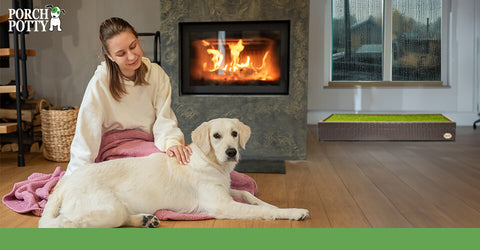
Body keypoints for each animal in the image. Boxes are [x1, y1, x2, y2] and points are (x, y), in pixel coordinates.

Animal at [37, 118, 308, 228]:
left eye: (234, 133)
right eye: (216, 136)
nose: (231, 152)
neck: (210, 162)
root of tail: (64, 183)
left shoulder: (227, 190)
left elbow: (250, 195)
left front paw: (273, 205)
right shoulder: (222, 205)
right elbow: (259, 210)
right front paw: (293, 212)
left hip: (116, 209)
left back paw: (146, 219)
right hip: (107, 208)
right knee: (67, 223)